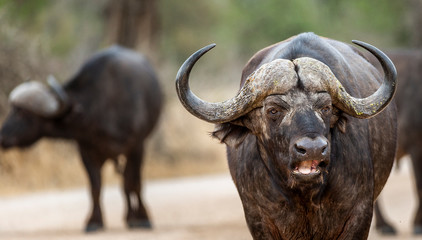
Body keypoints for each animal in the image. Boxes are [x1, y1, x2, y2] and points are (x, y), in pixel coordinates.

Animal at [0, 45, 162, 232]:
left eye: (22, 113)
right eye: (12, 109)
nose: (2, 136)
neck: (101, 105)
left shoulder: (137, 147)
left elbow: (134, 183)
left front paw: (142, 218)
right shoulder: (86, 151)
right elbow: (95, 187)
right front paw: (94, 221)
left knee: (129, 182)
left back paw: (133, 217)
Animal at [174, 32, 396, 240]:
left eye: (326, 107)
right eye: (273, 110)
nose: (313, 149)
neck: (304, 195)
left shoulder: (360, 213)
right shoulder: (258, 218)